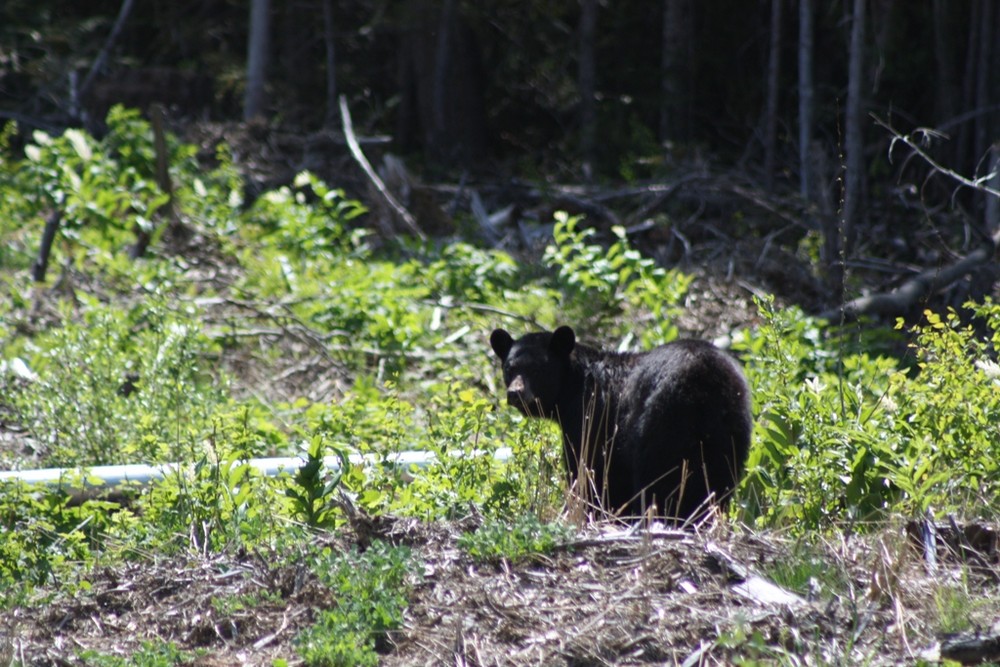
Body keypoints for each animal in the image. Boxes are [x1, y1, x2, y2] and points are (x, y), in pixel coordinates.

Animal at [488, 328, 752, 520]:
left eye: (538, 369)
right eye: (510, 368)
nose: (515, 393)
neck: (574, 386)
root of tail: (703, 380)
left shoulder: (591, 421)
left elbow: (590, 471)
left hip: (660, 423)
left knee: (655, 477)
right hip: (729, 430)